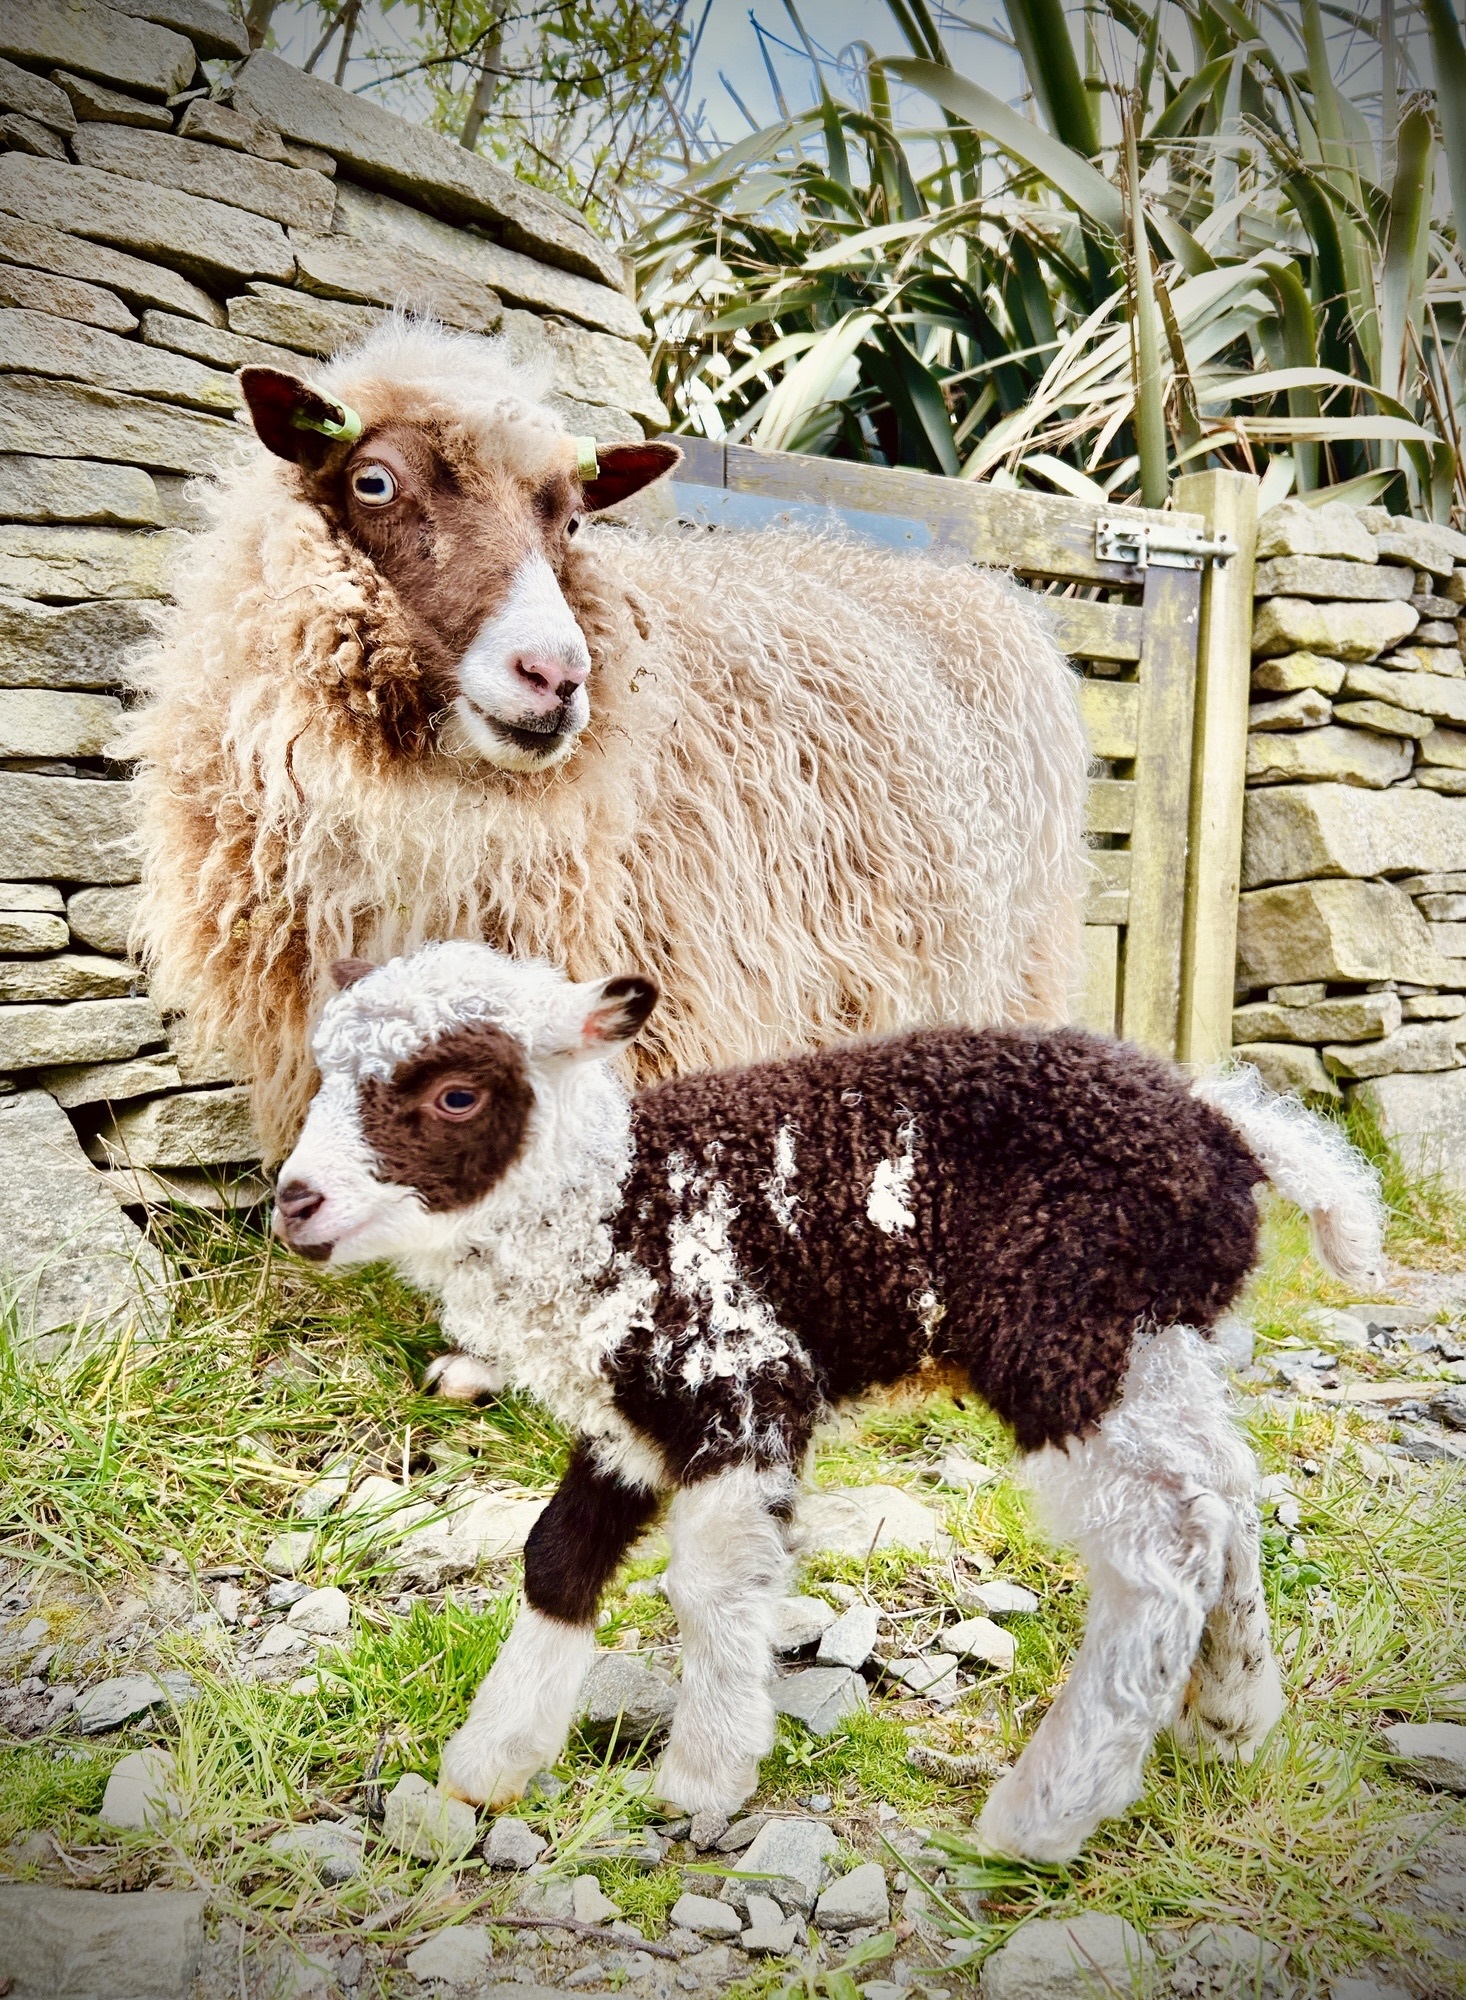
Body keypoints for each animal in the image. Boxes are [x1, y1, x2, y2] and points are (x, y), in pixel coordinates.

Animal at [272, 940, 1384, 1862]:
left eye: (456, 1094)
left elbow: (713, 1585)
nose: (295, 1201)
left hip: (1066, 1331)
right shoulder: (634, 1417)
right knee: (1222, 1491)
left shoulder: (744, 1380)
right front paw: (490, 1762)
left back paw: (1043, 1815)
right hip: (1154, 1337)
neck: (616, 1203)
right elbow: (556, 1557)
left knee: (1161, 1548)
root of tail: (1220, 1122)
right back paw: (1227, 1716)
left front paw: (702, 1779)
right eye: (325, 1073)